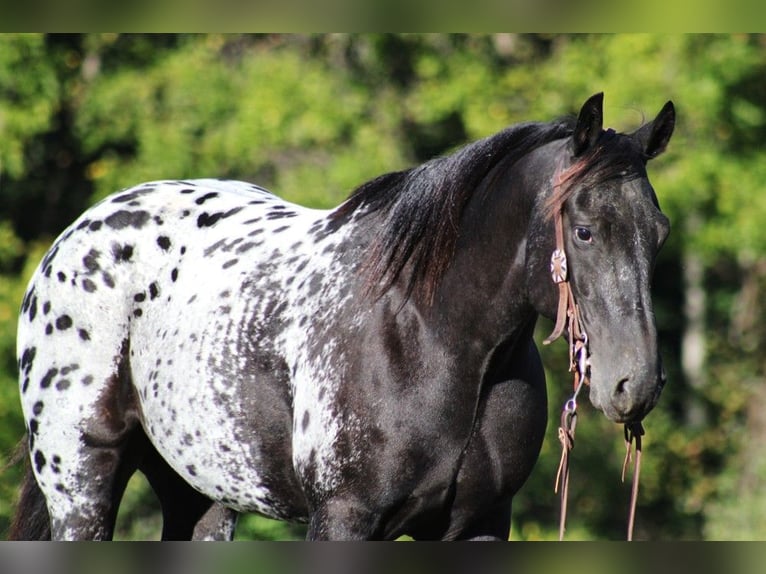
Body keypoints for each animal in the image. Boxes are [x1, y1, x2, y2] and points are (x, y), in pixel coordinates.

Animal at [9, 93, 676, 540]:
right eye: (584, 231)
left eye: (660, 232)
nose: (635, 384)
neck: (434, 339)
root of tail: (73, 238)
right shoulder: (344, 519)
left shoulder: (479, 524)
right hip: (83, 485)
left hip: (201, 494)